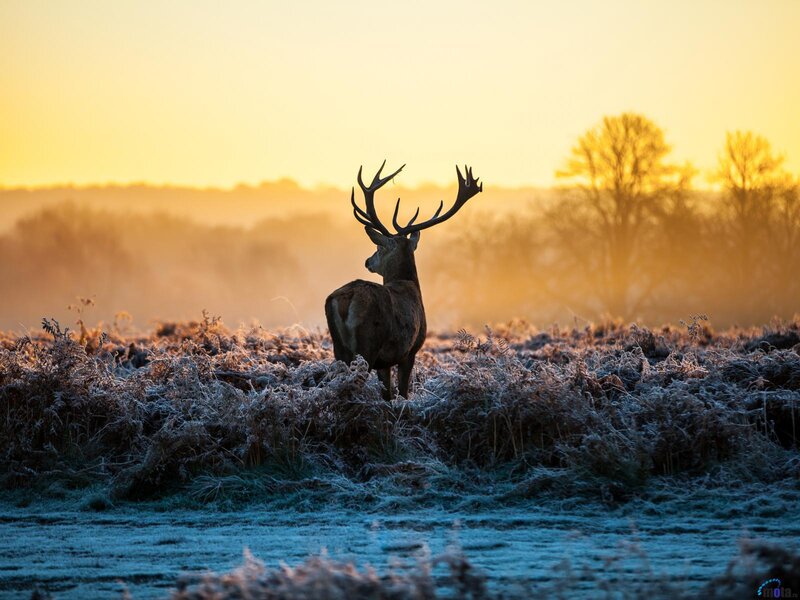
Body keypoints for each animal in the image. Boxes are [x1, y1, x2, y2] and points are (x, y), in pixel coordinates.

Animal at [325, 161, 482, 400]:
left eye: (379, 247)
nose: (368, 261)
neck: (409, 284)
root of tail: (345, 298)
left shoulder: (385, 361)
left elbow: (388, 394)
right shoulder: (410, 351)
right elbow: (403, 393)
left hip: (339, 348)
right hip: (367, 344)